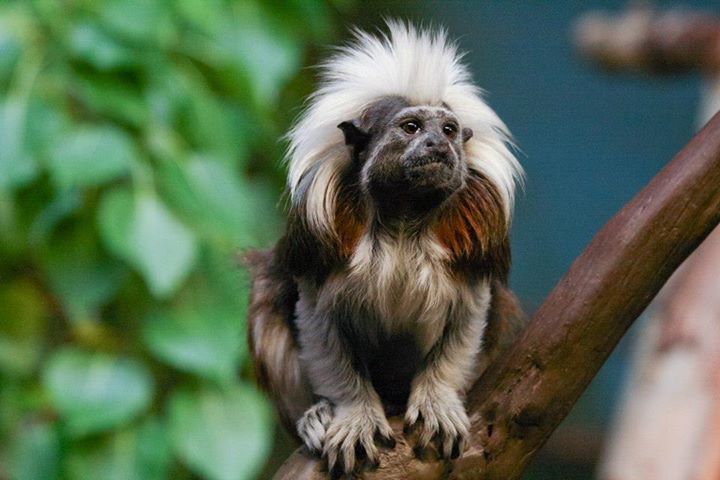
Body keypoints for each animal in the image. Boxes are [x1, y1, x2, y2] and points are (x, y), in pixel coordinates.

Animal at [246, 21, 526, 477]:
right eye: (411, 127)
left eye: (448, 130)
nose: (437, 145)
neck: (403, 221)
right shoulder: (321, 243)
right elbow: (319, 322)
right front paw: (352, 414)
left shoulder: (474, 244)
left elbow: (469, 317)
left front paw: (438, 400)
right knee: (268, 295)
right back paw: (315, 416)